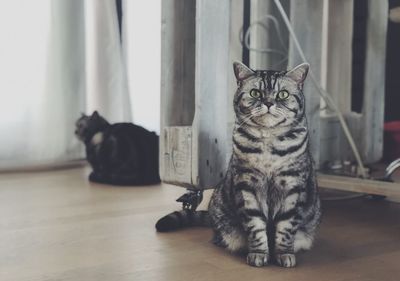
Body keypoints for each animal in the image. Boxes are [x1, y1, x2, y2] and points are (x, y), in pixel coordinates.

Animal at [156, 61, 322, 266]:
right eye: (255, 93)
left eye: (282, 94)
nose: (268, 103)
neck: (268, 143)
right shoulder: (247, 185)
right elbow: (255, 225)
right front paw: (258, 253)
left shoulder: (292, 187)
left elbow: (285, 227)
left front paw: (284, 253)